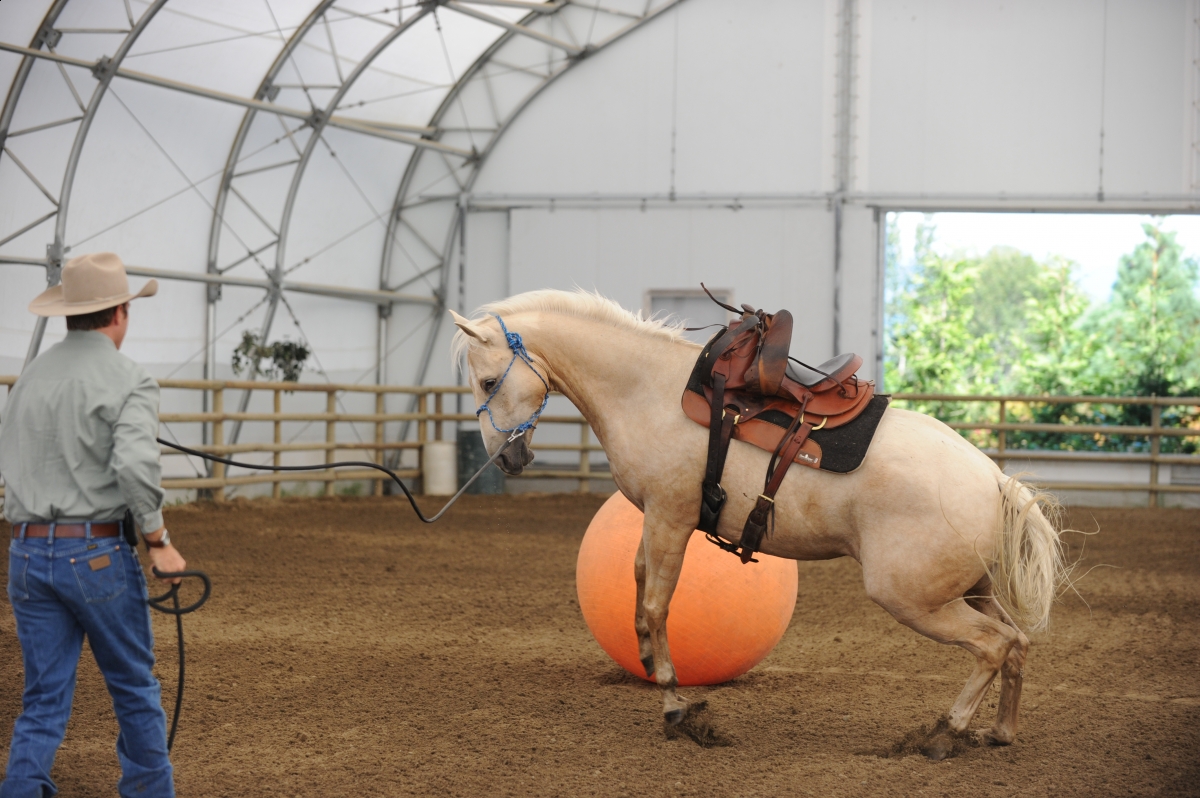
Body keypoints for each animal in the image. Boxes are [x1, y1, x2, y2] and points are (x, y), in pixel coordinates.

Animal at [449, 289, 1065, 749]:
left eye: (487, 382)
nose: (507, 459)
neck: (646, 389)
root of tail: (995, 480)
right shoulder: (655, 518)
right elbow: (639, 582)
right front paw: (646, 658)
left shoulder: (670, 516)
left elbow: (657, 604)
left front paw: (676, 706)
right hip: (973, 589)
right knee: (1016, 644)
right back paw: (999, 732)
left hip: (915, 598)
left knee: (993, 646)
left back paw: (945, 733)